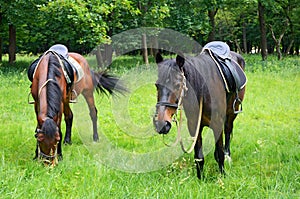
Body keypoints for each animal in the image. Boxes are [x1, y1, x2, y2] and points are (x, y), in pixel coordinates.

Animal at [154, 47, 245, 179]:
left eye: (177, 84)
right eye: (156, 85)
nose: (161, 124)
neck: (203, 92)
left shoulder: (217, 124)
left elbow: (220, 153)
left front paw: (222, 175)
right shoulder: (194, 125)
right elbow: (199, 157)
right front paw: (200, 178)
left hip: (232, 113)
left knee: (228, 131)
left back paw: (228, 156)